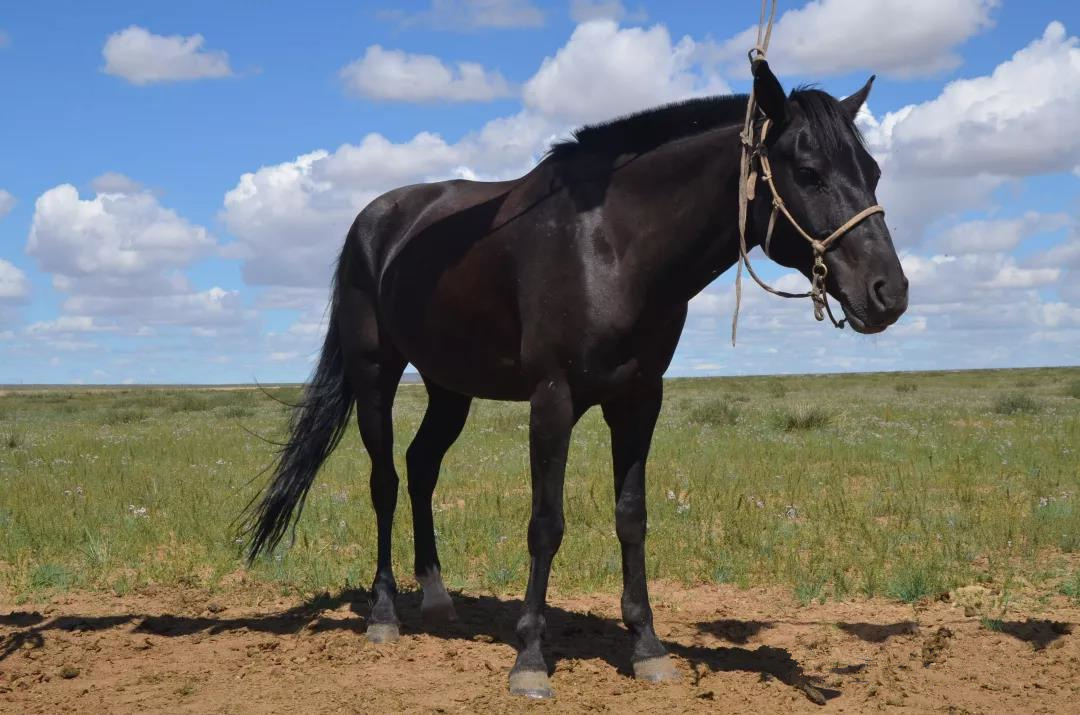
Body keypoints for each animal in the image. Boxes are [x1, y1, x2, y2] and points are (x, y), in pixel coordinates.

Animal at [243, 61, 902, 699]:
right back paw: (384, 615)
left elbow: (631, 517)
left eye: (873, 171)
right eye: (808, 172)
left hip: (449, 386)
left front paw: (648, 647)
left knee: (422, 466)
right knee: (384, 481)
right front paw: (531, 659)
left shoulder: (639, 399)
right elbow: (546, 523)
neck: (612, 243)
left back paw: (436, 598)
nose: (889, 293)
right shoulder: (553, 400)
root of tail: (373, 221)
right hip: (375, 376)